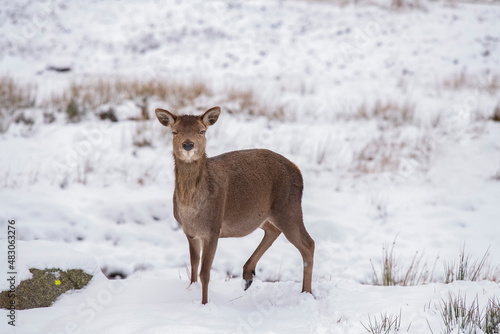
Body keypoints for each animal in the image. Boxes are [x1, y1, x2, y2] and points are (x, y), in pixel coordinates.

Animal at [154, 107, 314, 306]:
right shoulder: (190, 232)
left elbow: (205, 273)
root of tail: (298, 170)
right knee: (273, 231)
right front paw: (191, 291)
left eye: (202, 131)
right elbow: (193, 267)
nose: (188, 145)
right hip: (263, 214)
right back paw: (247, 276)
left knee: (308, 244)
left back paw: (306, 293)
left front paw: (204, 304)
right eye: (174, 131)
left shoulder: (213, 228)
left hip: (288, 207)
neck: (192, 209)